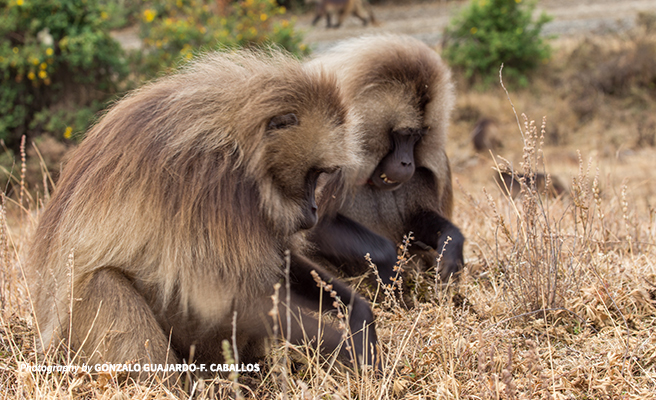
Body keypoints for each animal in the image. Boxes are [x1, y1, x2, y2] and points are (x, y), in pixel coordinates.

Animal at [28, 48, 376, 374]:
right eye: (313, 174)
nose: (314, 211)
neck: (238, 140)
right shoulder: (215, 185)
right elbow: (224, 302)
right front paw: (352, 350)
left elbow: (279, 262)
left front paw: (359, 315)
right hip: (77, 334)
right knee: (104, 282)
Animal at [306, 33, 464, 284]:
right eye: (404, 134)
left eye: (419, 136)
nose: (407, 163)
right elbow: (313, 228)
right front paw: (390, 267)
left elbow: (418, 219)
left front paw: (451, 245)